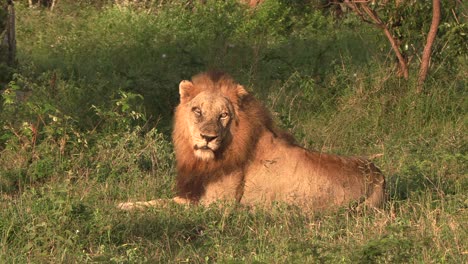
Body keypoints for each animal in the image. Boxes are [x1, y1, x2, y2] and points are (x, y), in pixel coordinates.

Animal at [119, 71, 386, 211]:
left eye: (223, 115)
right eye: (197, 111)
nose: (208, 137)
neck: (204, 161)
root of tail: (378, 176)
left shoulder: (216, 204)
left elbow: (163, 204)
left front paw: (121, 206)